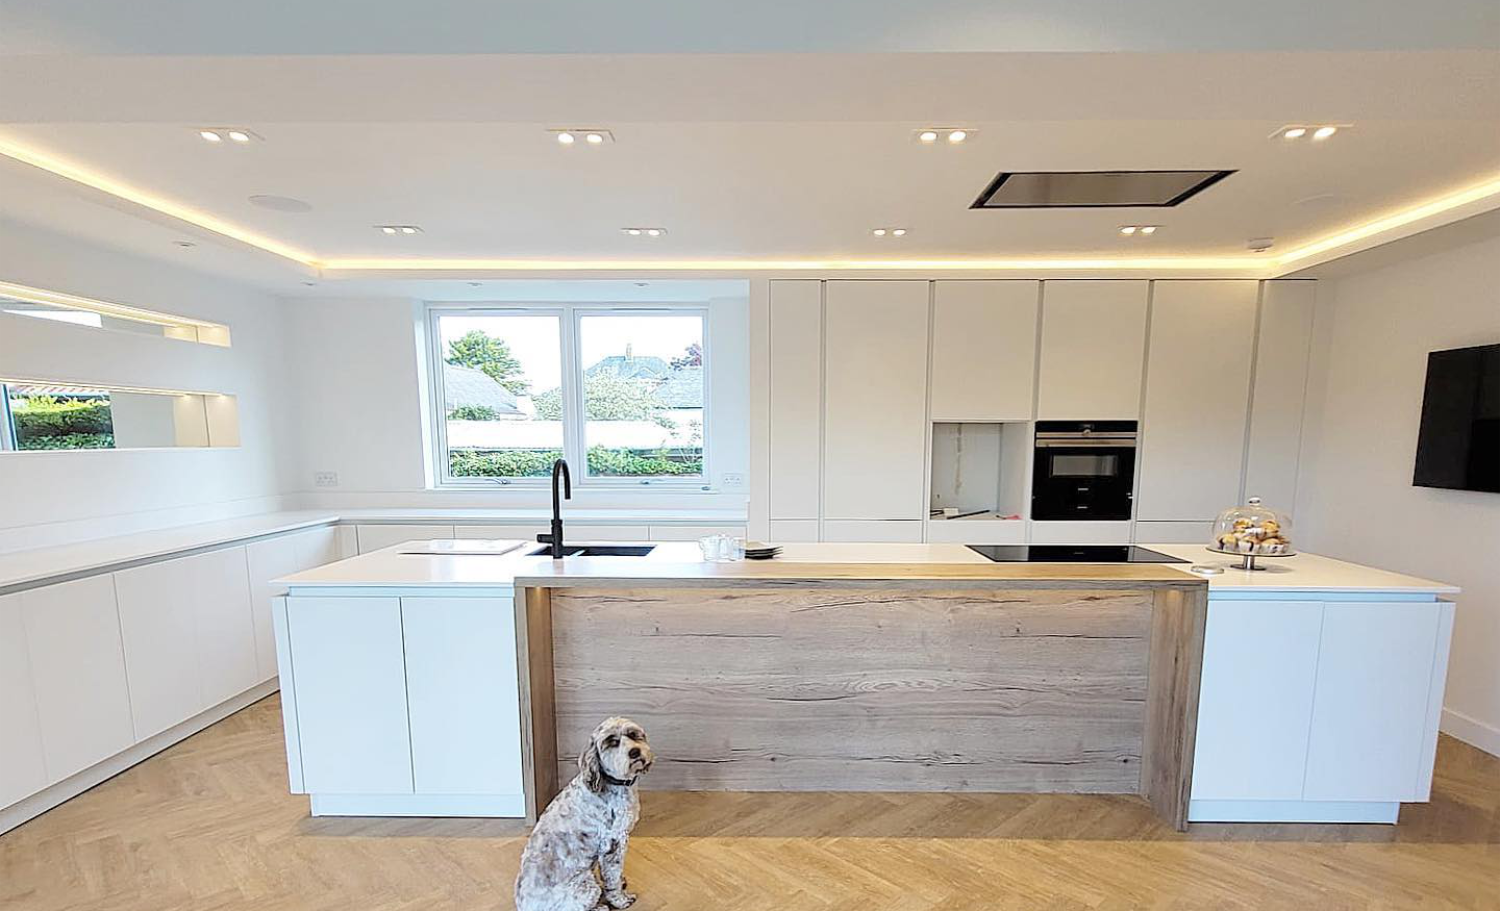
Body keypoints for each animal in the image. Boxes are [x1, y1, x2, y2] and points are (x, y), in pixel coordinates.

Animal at [519, 720, 654, 911]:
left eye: (633, 735)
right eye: (612, 742)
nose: (634, 751)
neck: (612, 782)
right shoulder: (613, 843)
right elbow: (613, 876)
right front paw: (620, 899)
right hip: (586, 885)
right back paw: (599, 907)